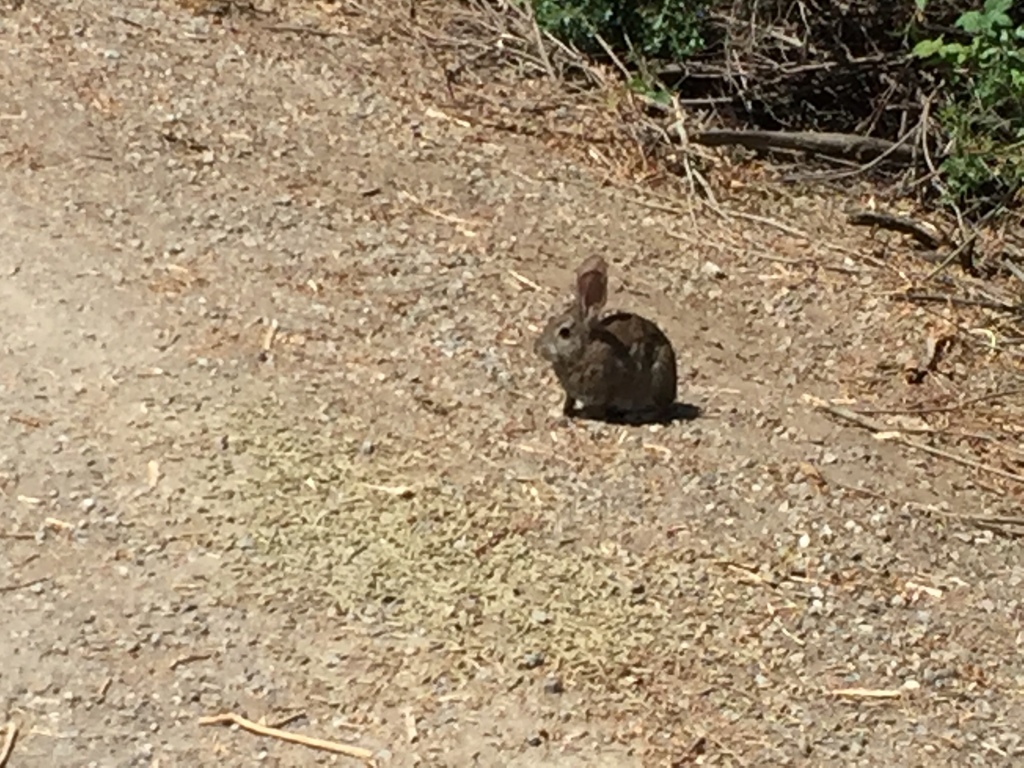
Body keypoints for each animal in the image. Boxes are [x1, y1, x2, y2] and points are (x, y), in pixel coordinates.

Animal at [533, 255, 678, 421]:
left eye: (565, 333)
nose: (539, 348)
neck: (584, 351)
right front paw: (564, 410)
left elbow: (597, 408)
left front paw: (582, 414)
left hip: (658, 377)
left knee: (659, 409)